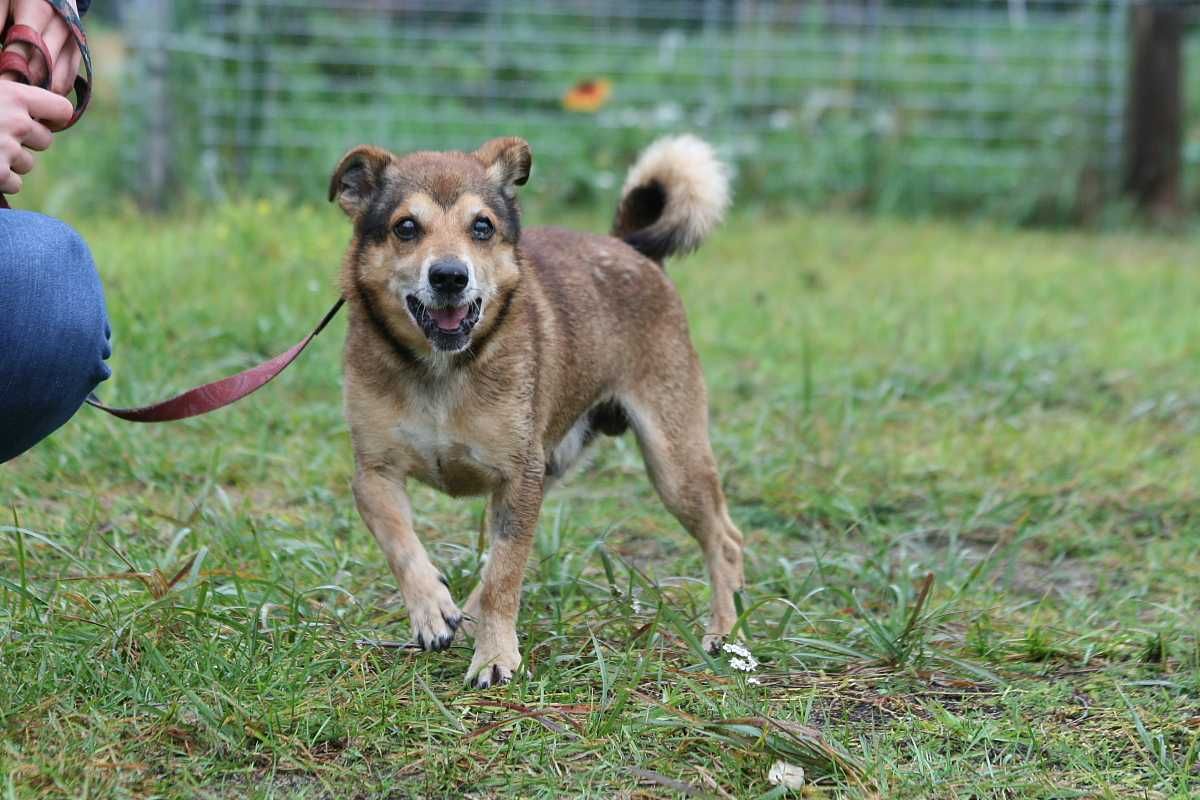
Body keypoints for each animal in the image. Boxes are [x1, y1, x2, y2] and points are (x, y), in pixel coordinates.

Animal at [328, 134, 739, 686]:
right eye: (406, 227)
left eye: (482, 227)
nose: (450, 276)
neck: (441, 370)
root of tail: (632, 247)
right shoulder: (373, 475)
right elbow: (402, 545)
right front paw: (432, 608)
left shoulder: (517, 478)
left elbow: (505, 575)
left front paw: (495, 656)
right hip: (557, 461)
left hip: (673, 463)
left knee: (725, 540)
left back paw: (725, 632)